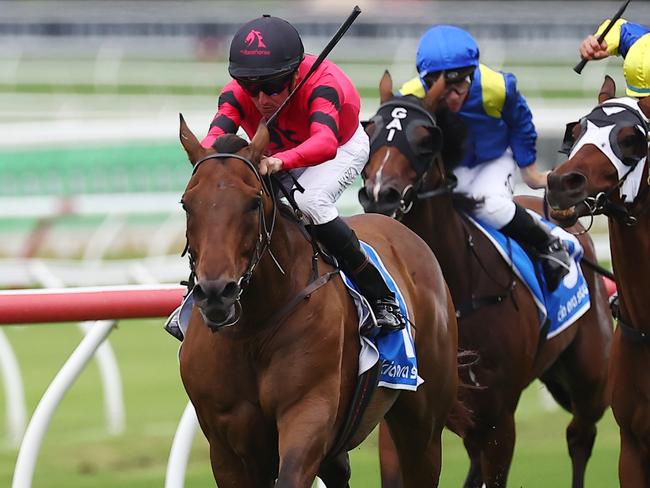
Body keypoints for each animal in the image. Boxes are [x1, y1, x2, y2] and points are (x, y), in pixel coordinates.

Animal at [176, 116, 460, 486]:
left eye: (254, 202)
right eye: (187, 204)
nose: (215, 293)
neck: (251, 331)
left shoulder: (308, 413)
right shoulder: (226, 446)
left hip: (423, 426)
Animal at [356, 72, 612, 488]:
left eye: (426, 137)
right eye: (370, 130)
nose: (381, 193)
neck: (456, 290)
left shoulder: (498, 421)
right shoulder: (405, 420)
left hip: (590, 380)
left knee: (580, 436)